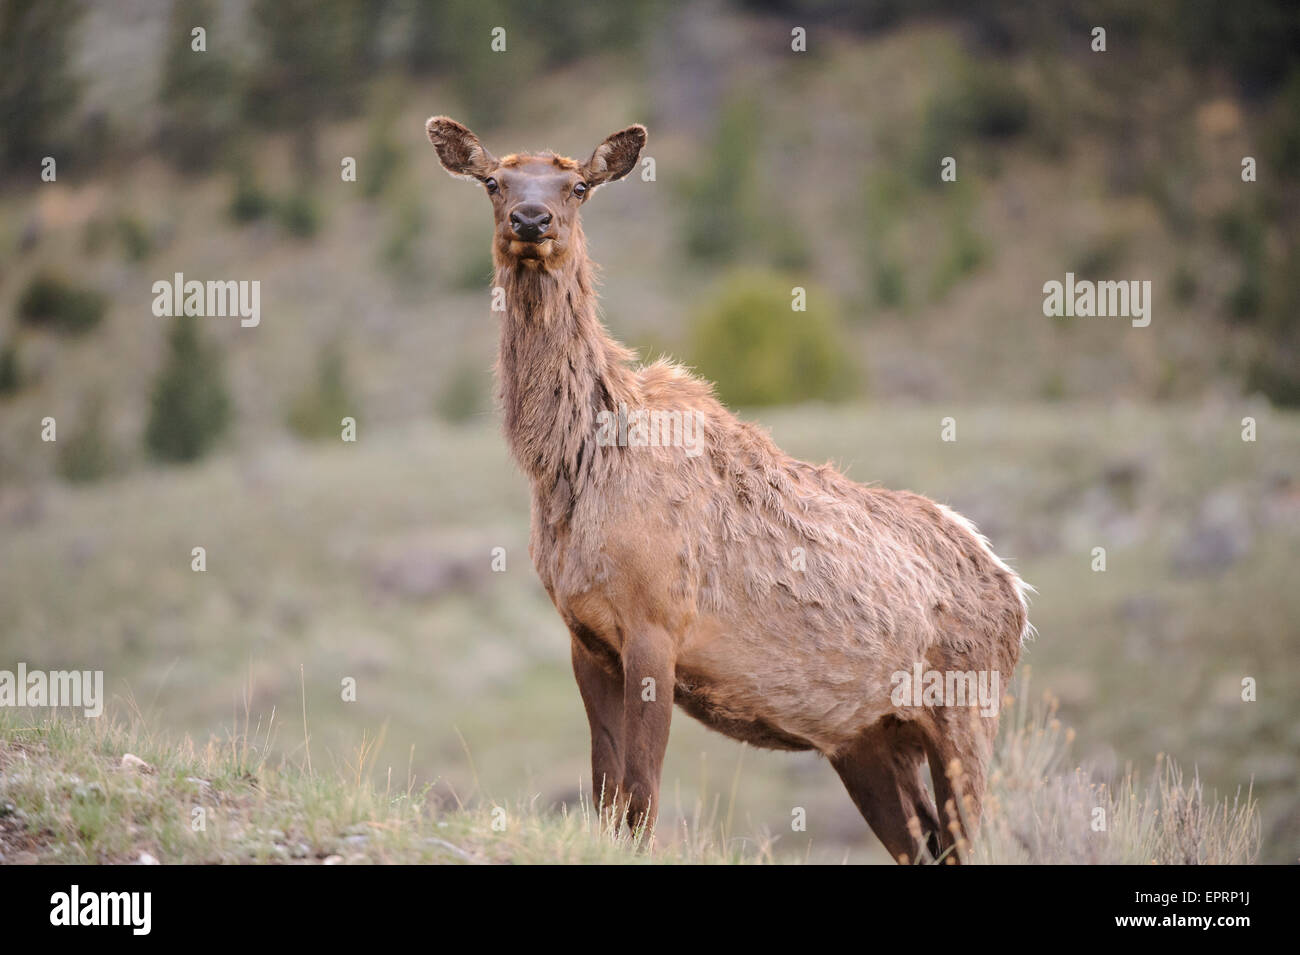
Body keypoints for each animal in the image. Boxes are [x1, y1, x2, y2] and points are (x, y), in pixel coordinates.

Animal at [431, 115, 1029, 862]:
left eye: (578, 186)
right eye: (493, 180)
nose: (531, 219)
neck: (571, 466)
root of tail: (1016, 593)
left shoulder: (657, 622)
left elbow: (640, 797)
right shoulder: (585, 635)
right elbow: (604, 795)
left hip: (968, 708)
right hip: (869, 739)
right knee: (923, 842)